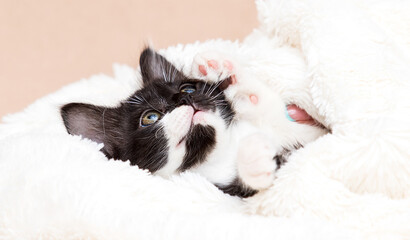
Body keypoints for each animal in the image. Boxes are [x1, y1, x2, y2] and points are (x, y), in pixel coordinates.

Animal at [59, 47, 326, 197]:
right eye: (150, 118)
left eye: (187, 88)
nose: (183, 99)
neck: (223, 148)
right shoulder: (225, 187)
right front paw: (255, 157)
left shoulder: (305, 132)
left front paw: (221, 69)